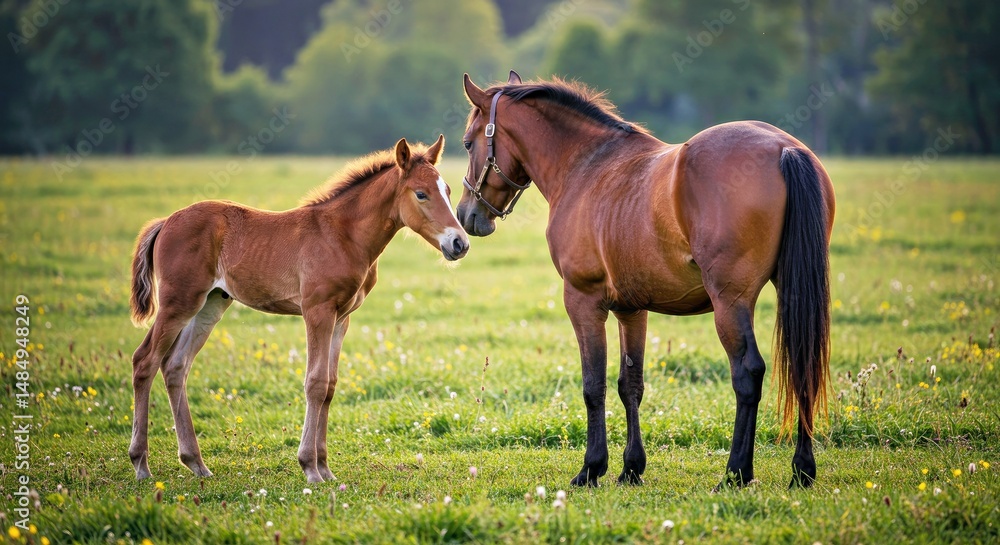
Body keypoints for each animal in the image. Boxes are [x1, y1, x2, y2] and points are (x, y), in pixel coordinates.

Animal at [128, 135, 469, 483]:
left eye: (448, 190)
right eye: (421, 193)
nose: (460, 243)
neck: (343, 235)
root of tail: (165, 222)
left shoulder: (342, 317)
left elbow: (329, 385)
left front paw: (325, 468)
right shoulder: (317, 310)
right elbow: (315, 383)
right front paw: (310, 467)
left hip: (210, 304)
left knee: (176, 366)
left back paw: (196, 462)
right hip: (178, 302)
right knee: (145, 361)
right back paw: (141, 464)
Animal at [457, 72, 834, 490]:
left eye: (468, 142)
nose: (467, 214)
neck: (586, 166)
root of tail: (785, 148)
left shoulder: (583, 301)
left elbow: (594, 385)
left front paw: (592, 468)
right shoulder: (631, 309)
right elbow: (630, 385)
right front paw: (631, 467)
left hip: (730, 302)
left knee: (748, 373)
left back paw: (736, 471)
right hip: (792, 292)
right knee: (803, 365)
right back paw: (802, 469)